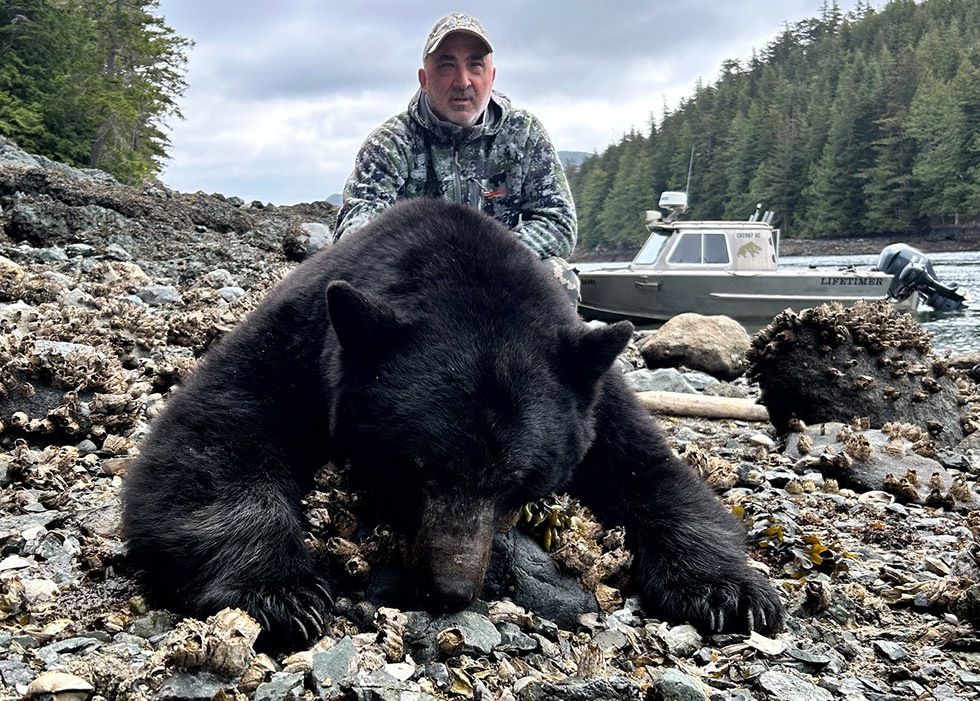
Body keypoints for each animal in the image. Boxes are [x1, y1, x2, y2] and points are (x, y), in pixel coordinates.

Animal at [121, 198, 783, 650]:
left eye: (517, 480)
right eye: (419, 469)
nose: (452, 591)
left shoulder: (586, 388)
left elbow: (650, 470)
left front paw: (729, 590)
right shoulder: (304, 340)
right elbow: (211, 438)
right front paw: (283, 592)